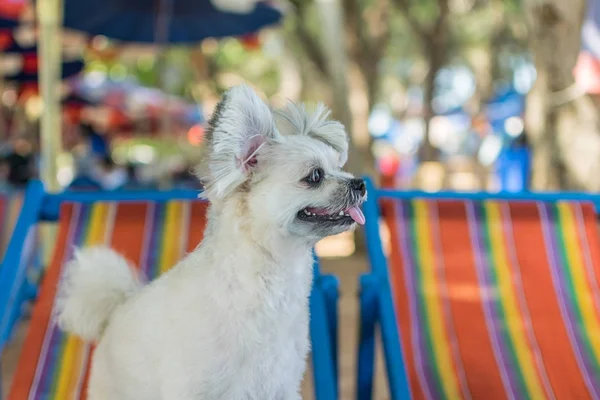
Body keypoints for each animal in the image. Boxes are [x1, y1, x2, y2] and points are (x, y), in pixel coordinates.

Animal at [56, 85, 366, 400]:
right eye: (315, 176)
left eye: (340, 167)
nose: (360, 183)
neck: (265, 286)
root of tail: (116, 309)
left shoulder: (280, 386)